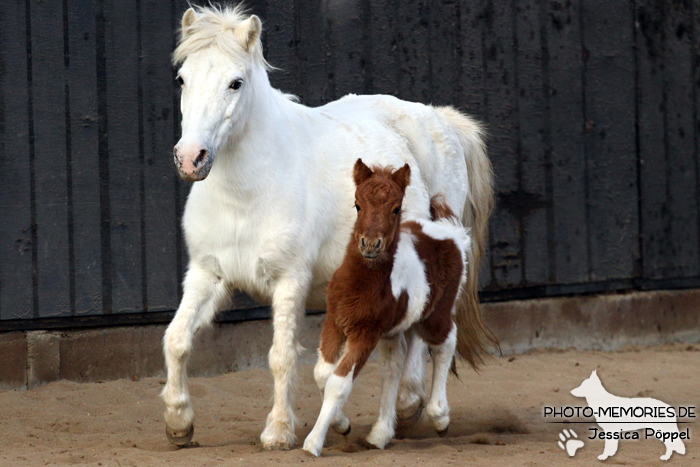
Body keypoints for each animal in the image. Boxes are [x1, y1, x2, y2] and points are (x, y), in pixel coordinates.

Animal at [302, 158, 470, 458]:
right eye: (357, 204)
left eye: (396, 208)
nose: (370, 244)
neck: (359, 283)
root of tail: (451, 232)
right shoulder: (334, 321)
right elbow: (322, 373)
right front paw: (342, 425)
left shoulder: (364, 333)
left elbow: (338, 383)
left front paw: (313, 443)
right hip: (392, 330)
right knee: (393, 365)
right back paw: (379, 434)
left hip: (435, 315)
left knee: (446, 342)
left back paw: (440, 417)